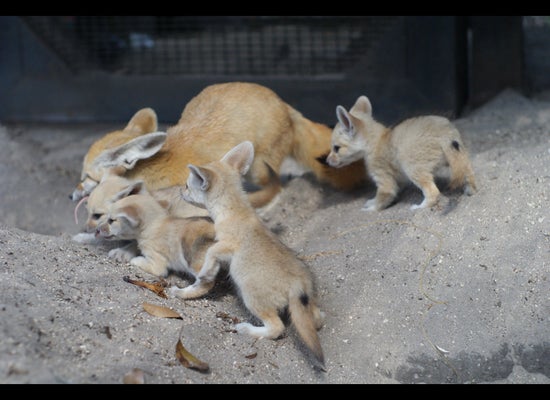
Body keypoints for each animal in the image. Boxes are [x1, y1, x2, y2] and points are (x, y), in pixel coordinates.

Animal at [172, 141, 326, 372]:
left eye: (188, 186)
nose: (180, 191)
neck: (236, 209)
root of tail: (298, 284)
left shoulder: (226, 245)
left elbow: (211, 252)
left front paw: (205, 273)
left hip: (252, 298)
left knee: (276, 328)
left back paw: (247, 329)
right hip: (307, 306)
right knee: (317, 320)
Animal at [328, 95, 478, 211]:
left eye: (336, 148)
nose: (327, 161)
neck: (377, 140)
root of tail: (444, 134)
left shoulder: (384, 180)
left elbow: (382, 199)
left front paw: (370, 208)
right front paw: (371, 201)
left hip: (411, 168)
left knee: (433, 192)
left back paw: (419, 207)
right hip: (459, 157)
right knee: (469, 172)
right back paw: (470, 190)